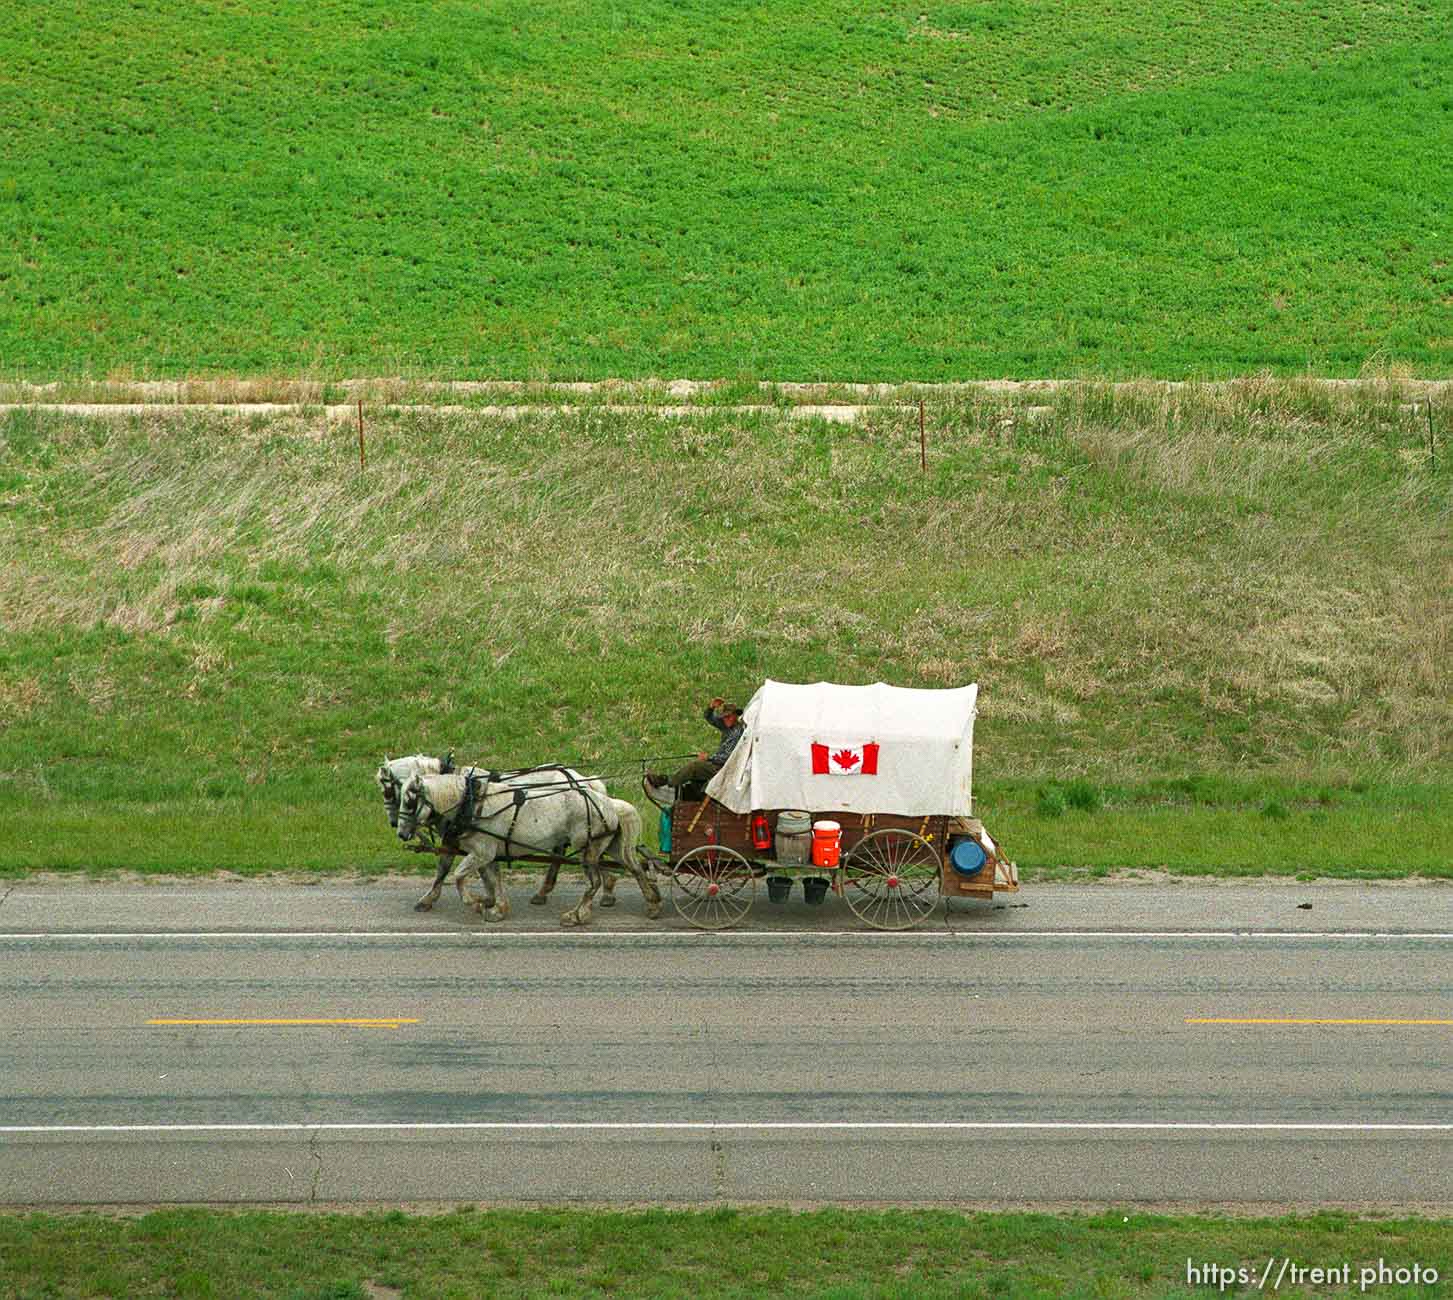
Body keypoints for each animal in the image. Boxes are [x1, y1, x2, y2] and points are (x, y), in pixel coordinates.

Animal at [395, 766, 662, 929]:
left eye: (409, 800)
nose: (401, 833)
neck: (470, 803)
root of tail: (607, 802)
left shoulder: (481, 851)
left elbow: (457, 875)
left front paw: (476, 902)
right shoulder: (487, 853)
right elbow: (493, 879)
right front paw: (497, 908)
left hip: (588, 847)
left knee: (593, 881)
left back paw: (576, 914)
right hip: (611, 845)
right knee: (635, 868)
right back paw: (652, 903)